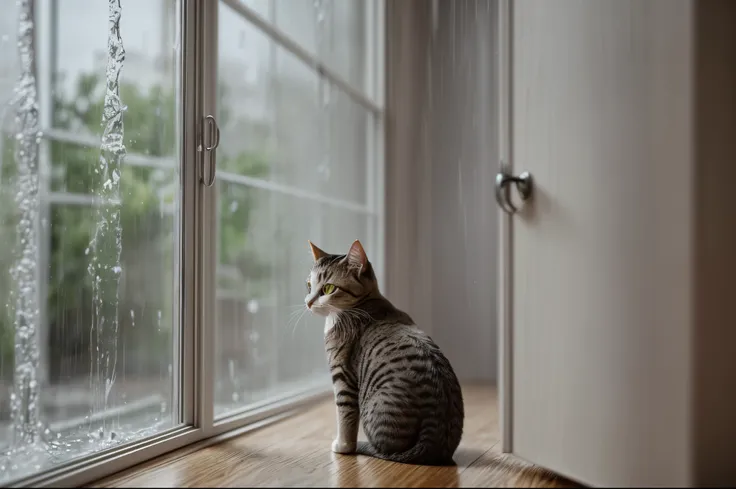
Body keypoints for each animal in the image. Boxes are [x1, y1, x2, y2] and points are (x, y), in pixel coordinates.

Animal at [304, 240, 466, 466]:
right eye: (309, 285)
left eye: (328, 288)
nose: (308, 302)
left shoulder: (343, 376)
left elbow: (345, 416)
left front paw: (343, 446)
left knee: (385, 448)